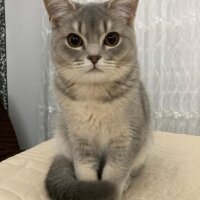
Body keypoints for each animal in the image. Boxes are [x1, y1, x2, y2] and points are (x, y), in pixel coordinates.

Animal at [43, 0, 150, 200]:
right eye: (74, 40)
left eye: (112, 38)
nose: (94, 57)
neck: (94, 97)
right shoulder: (80, 140)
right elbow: (86, 175)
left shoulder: (126, 141)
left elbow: (115, 178)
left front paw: (114, 190)